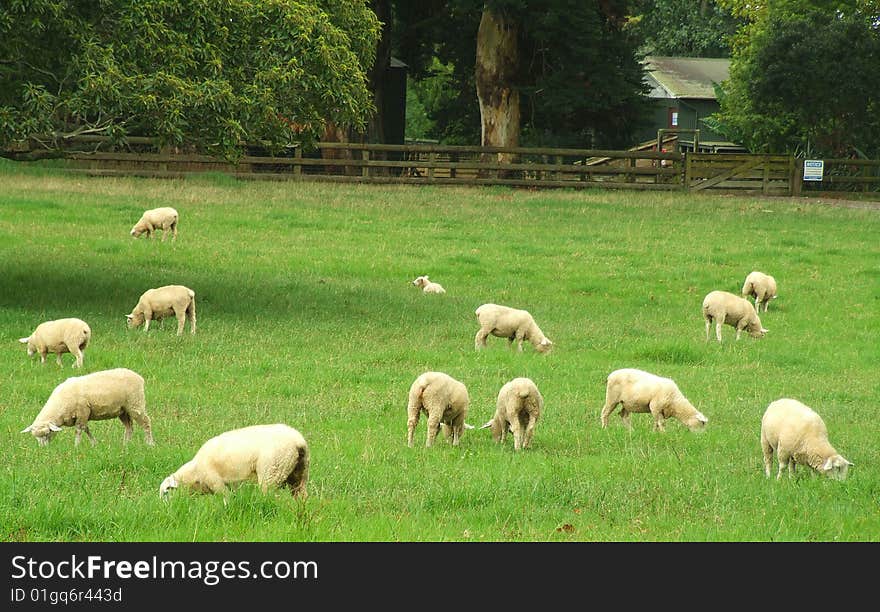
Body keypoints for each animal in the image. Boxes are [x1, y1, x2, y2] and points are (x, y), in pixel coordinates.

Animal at [20, 366, 155, 448]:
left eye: (48, 433)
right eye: (35, 437)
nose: (43, 449)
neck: (59, 407)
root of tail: (139, 377)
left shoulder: (82, 411)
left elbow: (79, 430)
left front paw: (76, 446)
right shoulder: (83, 415)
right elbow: (86, 429)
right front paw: (94, 443)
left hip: (135, 404)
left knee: (146, 423)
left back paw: (150, 443)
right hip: (123, 410)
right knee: (129, 427)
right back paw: (125, 445)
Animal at [158, 424, 310, 500]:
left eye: (166, 492)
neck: (194, 472)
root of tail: (298, 441)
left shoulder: (217, 483)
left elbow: (227, 500)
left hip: (272, 470)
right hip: (299, 473)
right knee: (301, 496)